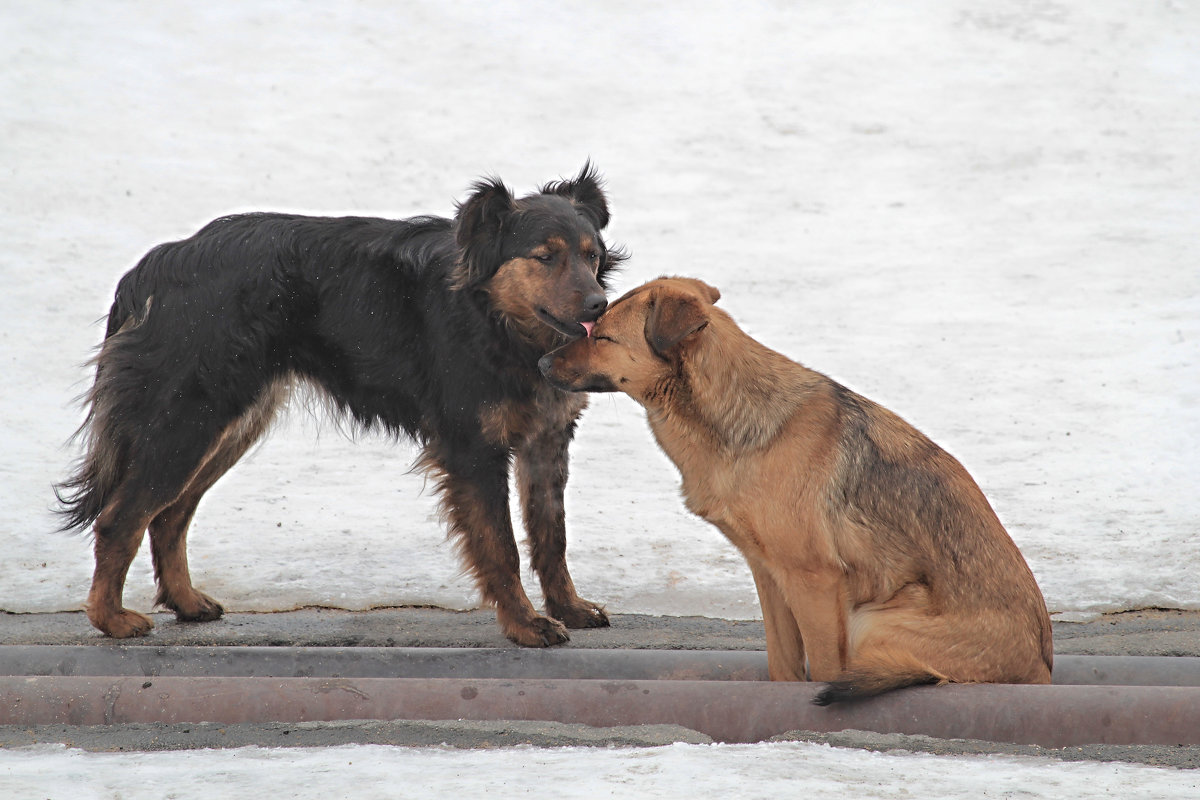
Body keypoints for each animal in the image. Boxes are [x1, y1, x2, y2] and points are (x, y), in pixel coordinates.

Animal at [54, 163, 628, 642]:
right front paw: (526, 624)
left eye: (591, 255)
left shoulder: (546, 440)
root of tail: (161, 261)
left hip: (230, 424)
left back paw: (187, 602)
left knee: (168, 517)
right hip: (189, 420)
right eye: (544, 257)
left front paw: (568, 607)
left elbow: (552, 537)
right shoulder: (473, 448)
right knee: (121, 518)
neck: (495, 319)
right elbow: (502, 547)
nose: (598, 306)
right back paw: (110, 619)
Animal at [540, 278, 1056, 705]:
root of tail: (1042, 674)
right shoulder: (769, 573)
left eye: (603, 337)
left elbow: (823, 666)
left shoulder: (814, 580)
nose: (541, 361)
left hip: (872, 621)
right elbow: (783, 665)